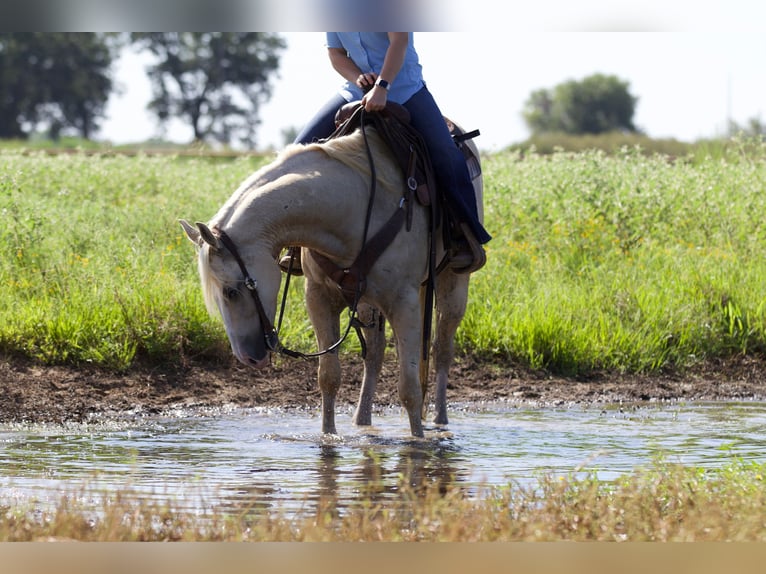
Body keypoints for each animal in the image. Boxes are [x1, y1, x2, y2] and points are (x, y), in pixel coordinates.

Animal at [180, 122, 486, 436]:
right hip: (367, 303)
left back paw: (440, 420)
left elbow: (409, 388)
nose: (248, 358)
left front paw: (417, 441)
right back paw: (362, 421)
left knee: (441, 350)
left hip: (452, 287)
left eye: (231, 291)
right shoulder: (319, 298)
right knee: (374, 355)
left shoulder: (405, 303)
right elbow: (328, 376)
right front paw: (328, 435)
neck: (353, 206)